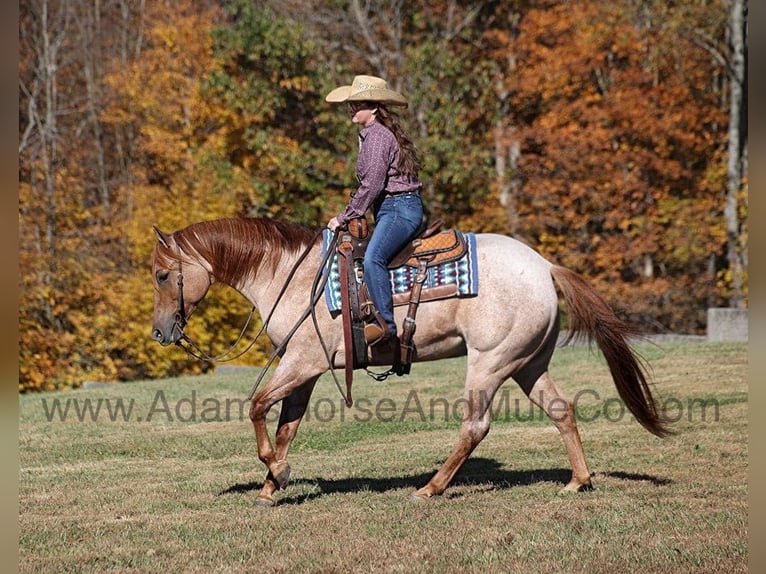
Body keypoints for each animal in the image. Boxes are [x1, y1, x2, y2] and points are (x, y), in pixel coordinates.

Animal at [152, 217, 672, 508]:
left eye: (160, 274)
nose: (160, 333)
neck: (289, 275)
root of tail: (545, 267)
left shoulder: (302, 364)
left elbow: (257, 406)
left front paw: (277, 475)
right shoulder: (305, 372)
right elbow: (285, 428)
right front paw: (270, 486)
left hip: (489, 362)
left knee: (475, 426)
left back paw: (431, 489)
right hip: (527, 363)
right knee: (561, 410)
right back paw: (577, 482)